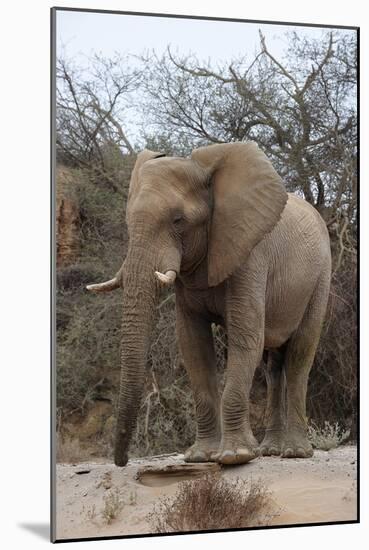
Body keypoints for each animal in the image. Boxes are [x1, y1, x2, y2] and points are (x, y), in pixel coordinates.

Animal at [86, 141, 330, 466]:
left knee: (300, 353)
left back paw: (295, 452)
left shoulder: (250, 255)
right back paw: (271, 450)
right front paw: (202, 457)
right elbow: (194, 346)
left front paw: (236, 456)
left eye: (178, 220)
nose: (122, 462)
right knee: (273, 364)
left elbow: (245, 339)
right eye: (128, 222)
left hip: (321, 276)